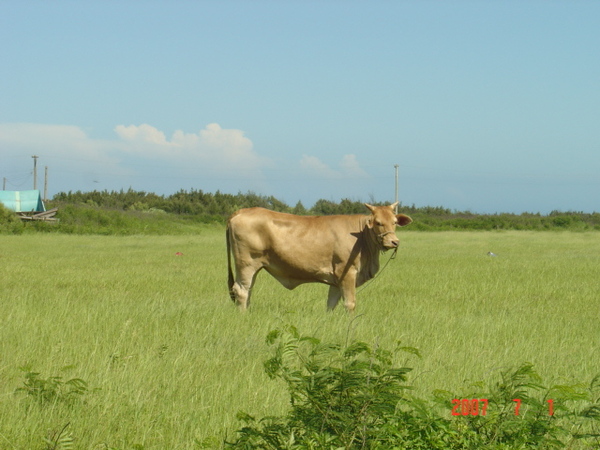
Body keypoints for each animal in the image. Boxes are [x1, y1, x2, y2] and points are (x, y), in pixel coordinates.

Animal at [225, 203, 412, 312]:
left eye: (394, 222)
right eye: (378, 223)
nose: (394, 242)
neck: (362, 237)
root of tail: (242, 211)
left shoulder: (337, 279)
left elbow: (331, 303)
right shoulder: (347, 273)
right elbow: (350, 303)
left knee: (248, 290)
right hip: (246, 264)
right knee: (241, 291)